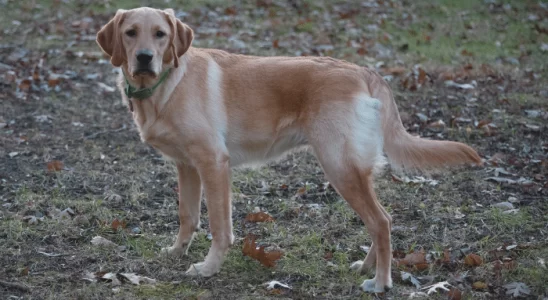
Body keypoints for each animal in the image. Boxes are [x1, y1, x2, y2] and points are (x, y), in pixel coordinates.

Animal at [96, 6, 482, 292]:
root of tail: (364, 71)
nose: (144, 57)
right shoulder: (186, 165)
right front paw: (177, 252)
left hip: (339, 166)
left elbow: (220, 227)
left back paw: (381, 282)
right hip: (352, 169)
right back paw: (367, 266)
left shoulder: (213, 163)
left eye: (160, 34)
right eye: (131, 32)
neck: (165, 86)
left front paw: (208, 268)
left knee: (381, 221)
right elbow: (187, 216)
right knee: (381, 219)